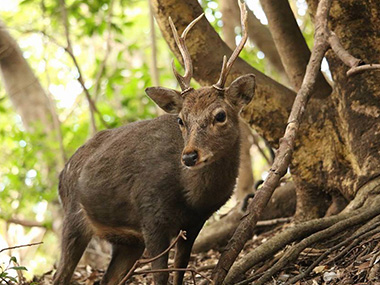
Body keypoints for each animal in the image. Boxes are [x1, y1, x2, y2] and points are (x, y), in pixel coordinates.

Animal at [52, 1, 255, 282]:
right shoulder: (151, 215)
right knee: (60, 275)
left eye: (220, 115)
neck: (192, 197)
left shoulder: (194, 224)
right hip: (73, 218)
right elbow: (160, 276)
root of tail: (61, 174)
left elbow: (179, 271)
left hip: (128, 242)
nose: (189, 156)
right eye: (181, 119)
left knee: (107, 279)